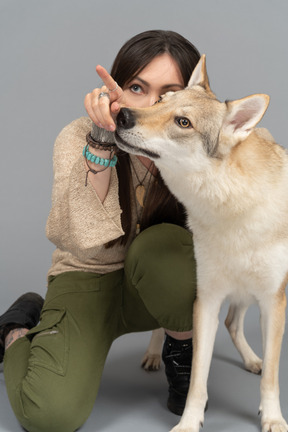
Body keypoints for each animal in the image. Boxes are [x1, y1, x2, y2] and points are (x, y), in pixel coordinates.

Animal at [115, 54, 288, 432]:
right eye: (160, 101)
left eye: (183, 122)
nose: (122, 114)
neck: (232, 206)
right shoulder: (205, 300)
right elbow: (197, 377)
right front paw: (189, 422)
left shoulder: (273, 300)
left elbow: (271, 376)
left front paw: (272, 418)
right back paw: (153, 354)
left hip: (248, 293)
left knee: (234, 325)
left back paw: (252, 361)